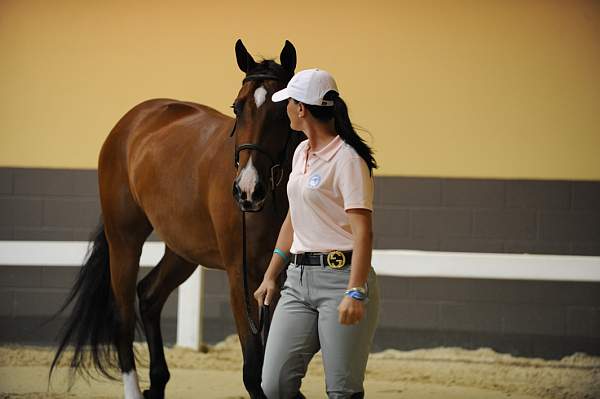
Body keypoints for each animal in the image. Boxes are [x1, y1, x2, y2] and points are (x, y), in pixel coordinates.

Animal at [50, 40, 304, 399]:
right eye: (237, 108)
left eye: (283, 111)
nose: (247, 190)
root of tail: (134, 120)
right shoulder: (240, 276)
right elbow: (255, 371)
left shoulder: (278, 280)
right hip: (124, 241)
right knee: (123, 319)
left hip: (183, 250)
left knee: (149, 296)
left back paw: (158, 381)